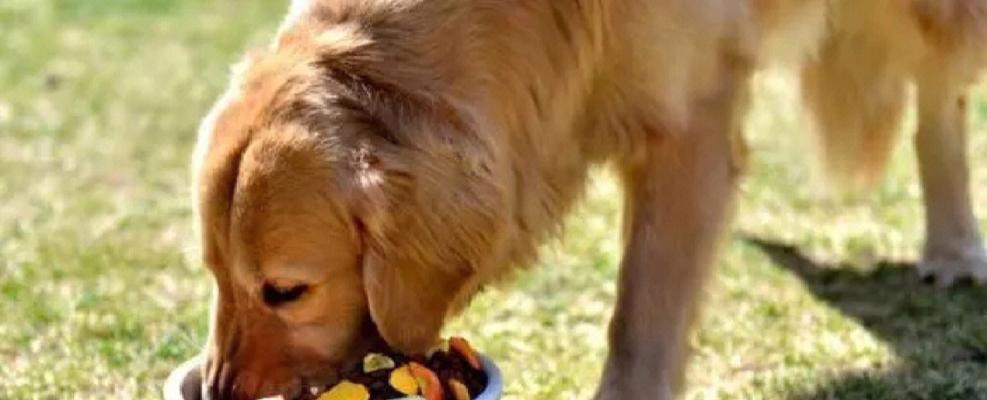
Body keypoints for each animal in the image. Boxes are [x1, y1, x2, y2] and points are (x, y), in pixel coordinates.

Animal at [193, 0, 987, 398]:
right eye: (215, 276)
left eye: (287, 291)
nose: (217, 392)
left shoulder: (688, 124)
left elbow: (642, 318)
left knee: (940, 98)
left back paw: (951, 248)